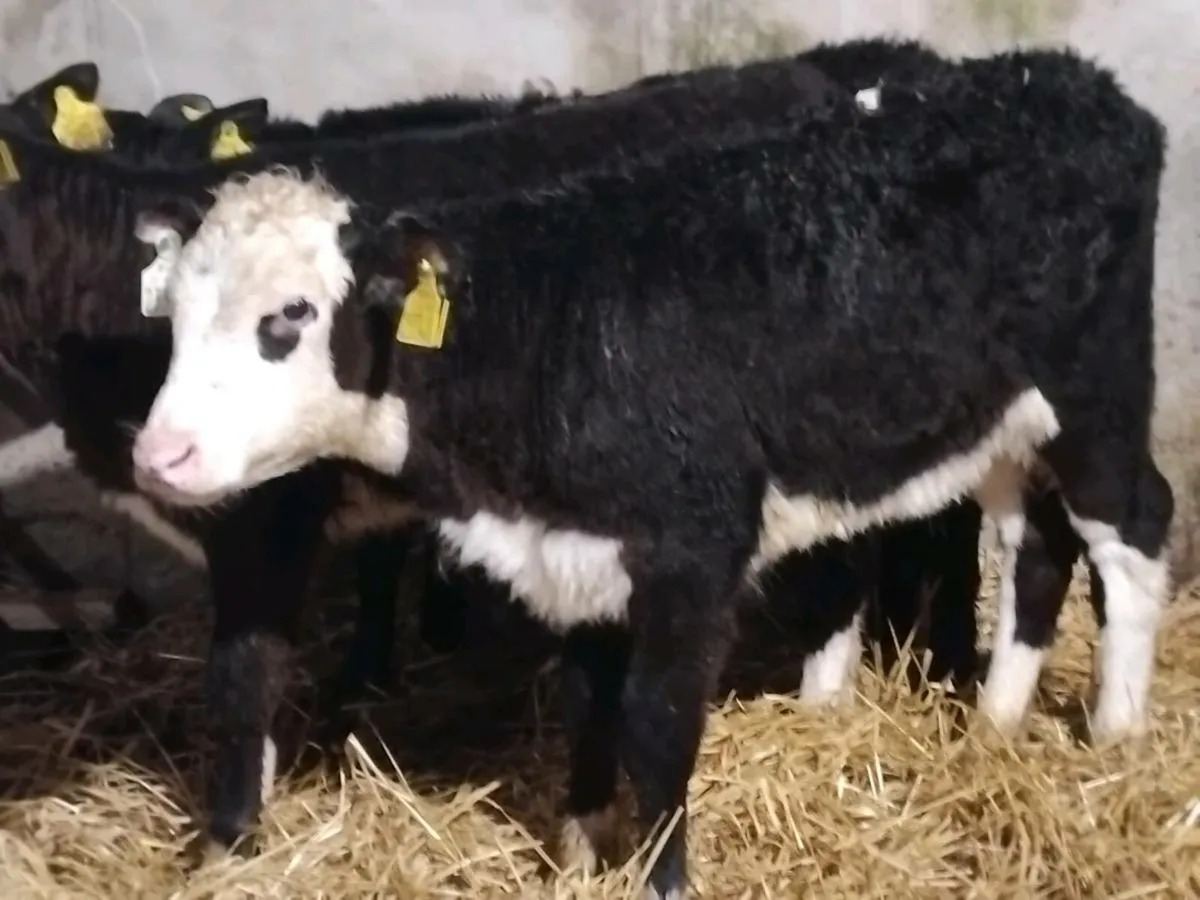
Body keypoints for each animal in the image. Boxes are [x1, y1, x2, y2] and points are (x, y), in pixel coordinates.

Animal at [129, 47, 1169, 898]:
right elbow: (589, 704)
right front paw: (582, 852)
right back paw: (996, 721)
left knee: (1136, 531)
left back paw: (1116, 736)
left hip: (1098, 393)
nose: (159, 454)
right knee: (1035, 544)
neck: (545, 329)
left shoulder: (692, 551)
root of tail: (1068, 79)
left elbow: (658, 726)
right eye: (172, 312)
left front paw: (661, 879)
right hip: (995, 421)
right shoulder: (581, 552)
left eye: (291, 315)